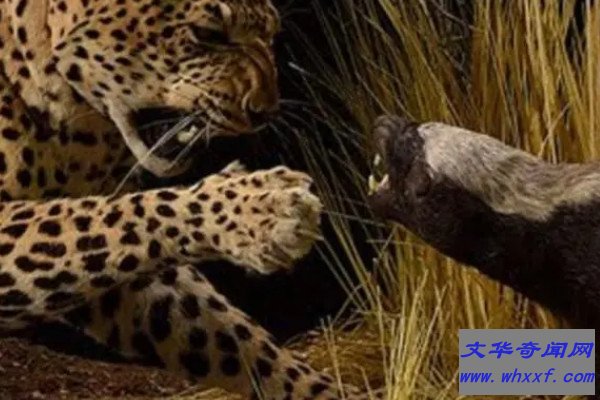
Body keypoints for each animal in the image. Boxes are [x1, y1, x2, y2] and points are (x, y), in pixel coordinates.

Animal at [0, 0, 360, 398]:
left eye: (271, 35)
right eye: (207, 34)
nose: (264, 112)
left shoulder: (130, 279)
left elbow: (237, 340)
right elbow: (99, 215)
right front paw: (259, 206)